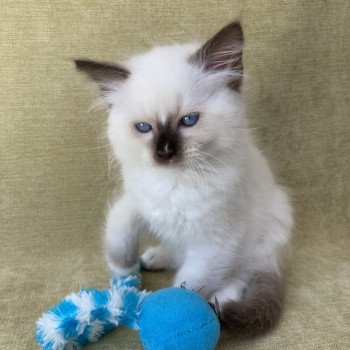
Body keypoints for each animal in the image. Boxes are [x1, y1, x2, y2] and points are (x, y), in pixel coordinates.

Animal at [76, 22, 292, 336]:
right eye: (144, 128)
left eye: (188, 121)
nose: (165, 152)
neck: (174, 183)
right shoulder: (137, 201)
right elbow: (118, 233)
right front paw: (124, 270)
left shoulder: (214, 242)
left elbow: (187, 286)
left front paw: (166, 317)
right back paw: (153, 258)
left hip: (268, 231)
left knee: (240, 277)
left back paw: (220, 304)